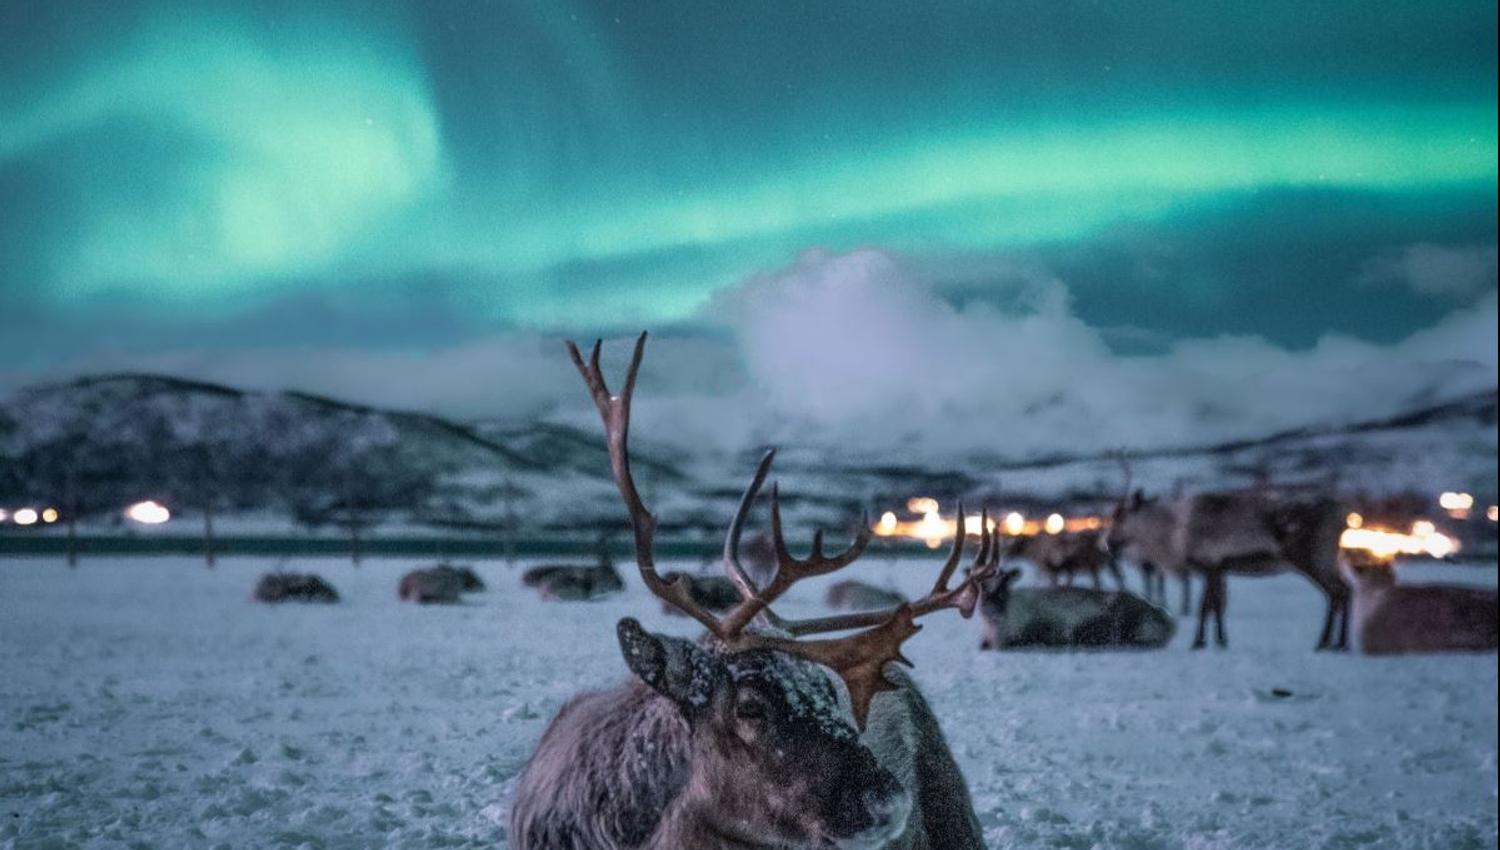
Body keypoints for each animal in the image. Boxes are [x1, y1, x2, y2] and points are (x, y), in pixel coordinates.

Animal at [1106, 456, 1349, 650]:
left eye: (1120, 515)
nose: (1109, 543)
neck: (1172, 532)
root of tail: (1342, 515)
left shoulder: (1209, 565)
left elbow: (1205, 606)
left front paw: (1199, 642)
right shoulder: (1218, 569)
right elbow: (1216, 606)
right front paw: (1220, 641)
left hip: (1312, 558)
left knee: (1337, 592)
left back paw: (1327, 642)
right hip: (1325, 561)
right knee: (1342, 591)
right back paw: (1338, 643)